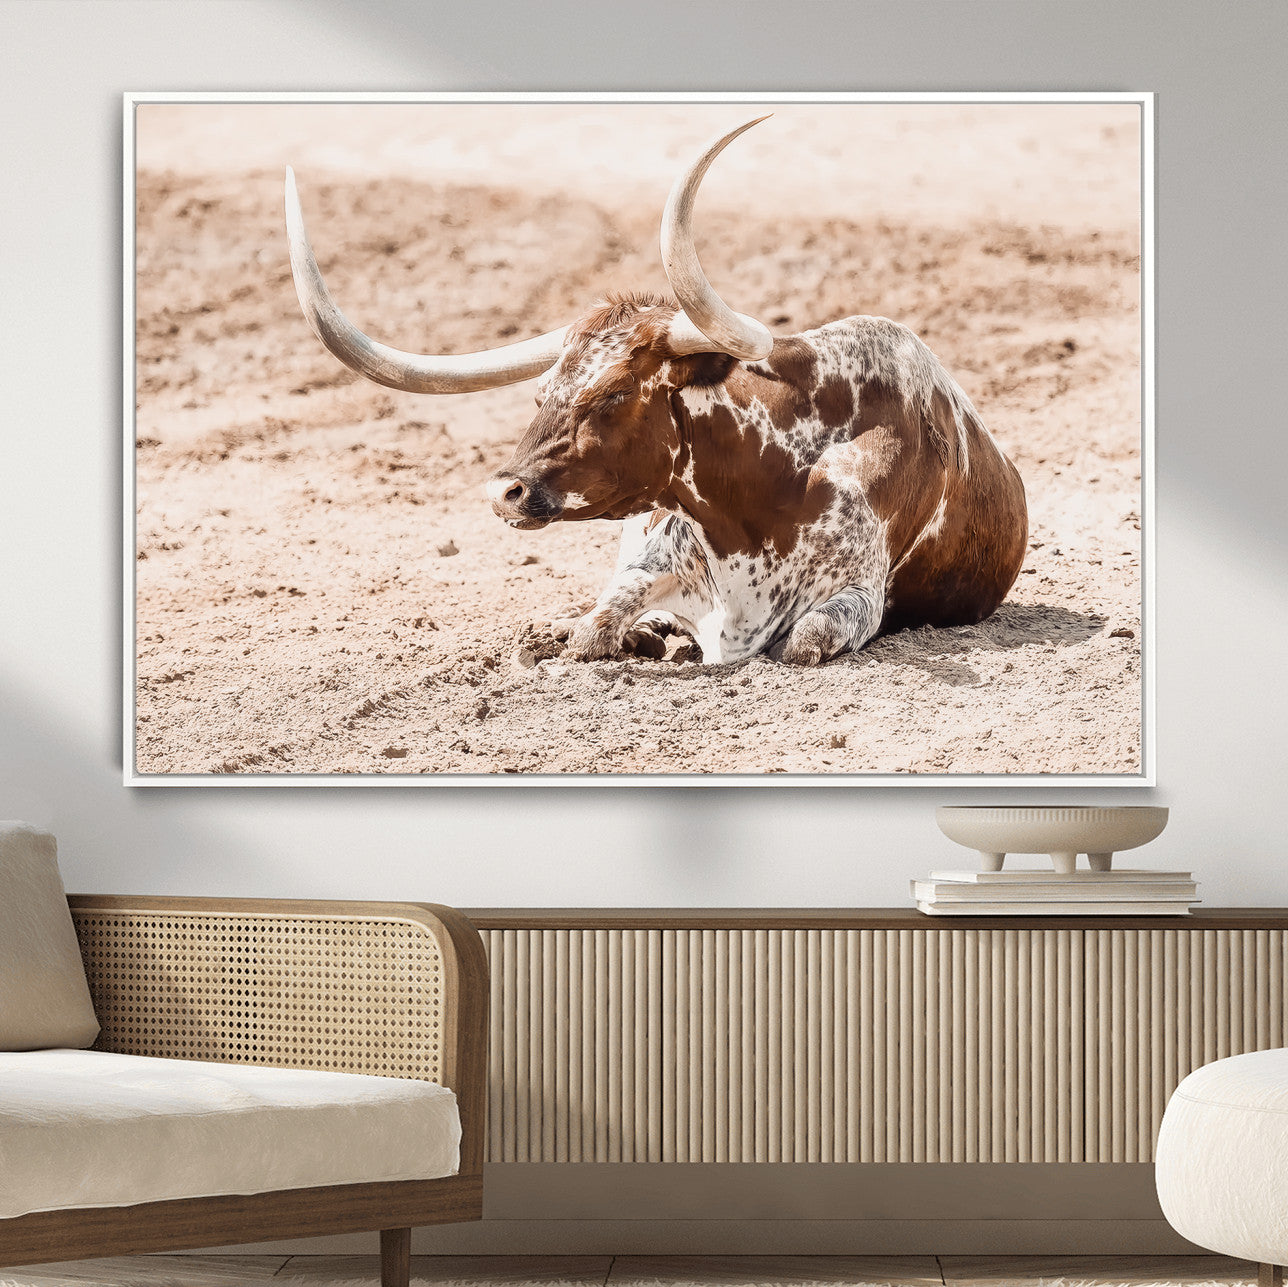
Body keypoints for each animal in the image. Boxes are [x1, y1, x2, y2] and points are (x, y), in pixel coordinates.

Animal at [285, 118, 1027, 666]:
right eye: (541, 393)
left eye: (614, 394)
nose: (505, 492)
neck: (763, 496)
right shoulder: (648, 559)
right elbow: (593, 628)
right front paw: (613, 635)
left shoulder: (855, 598)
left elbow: (800, 642)